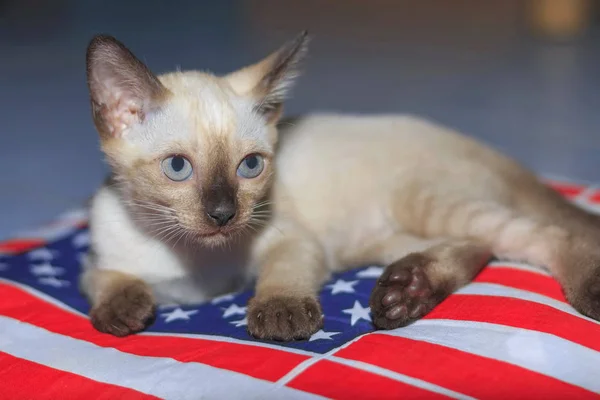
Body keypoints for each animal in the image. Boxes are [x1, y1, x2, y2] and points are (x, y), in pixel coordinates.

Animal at [81, 32, 600, 342]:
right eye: (177, 167)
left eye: (250, 165)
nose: (224, 214)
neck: (194, 258)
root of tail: (494, 151)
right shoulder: (106, 263)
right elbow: (107, 281)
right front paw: (123, 314)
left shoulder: (291, 240)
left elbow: (281, 275)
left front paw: (281, 315)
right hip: (379, 240)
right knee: (478, 247)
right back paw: (406, 292)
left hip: (419, 202)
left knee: (543, 236)